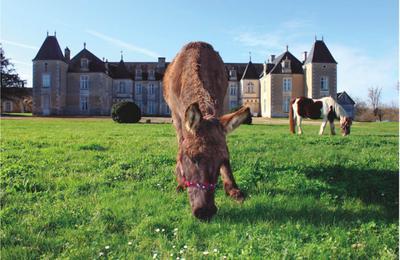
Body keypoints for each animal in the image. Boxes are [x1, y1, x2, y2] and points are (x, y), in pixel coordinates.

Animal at [162, 41, 250, 220]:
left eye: (223, 160)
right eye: (192, 157)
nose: (205, 211)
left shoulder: (221, 106)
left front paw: (233, 189)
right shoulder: (176, 116)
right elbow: (181, 144)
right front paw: (180, 182)